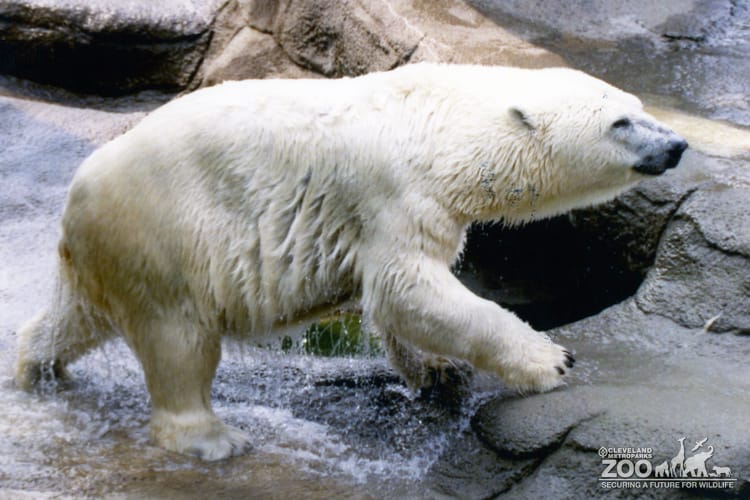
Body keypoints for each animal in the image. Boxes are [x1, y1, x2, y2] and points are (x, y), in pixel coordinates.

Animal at [15, 63, 687, 460]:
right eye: (620, 122)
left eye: (639, 106)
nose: (678, 145)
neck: (440, 123)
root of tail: (75, 199)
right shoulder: (394, 190)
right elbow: (407, 287)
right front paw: (551, 359)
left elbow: (400, 297)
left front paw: (439, 371)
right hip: (166, 233)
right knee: (179, 339)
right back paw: (213, 438)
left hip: (116, 253)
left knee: (78, 318)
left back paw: (34, 367)